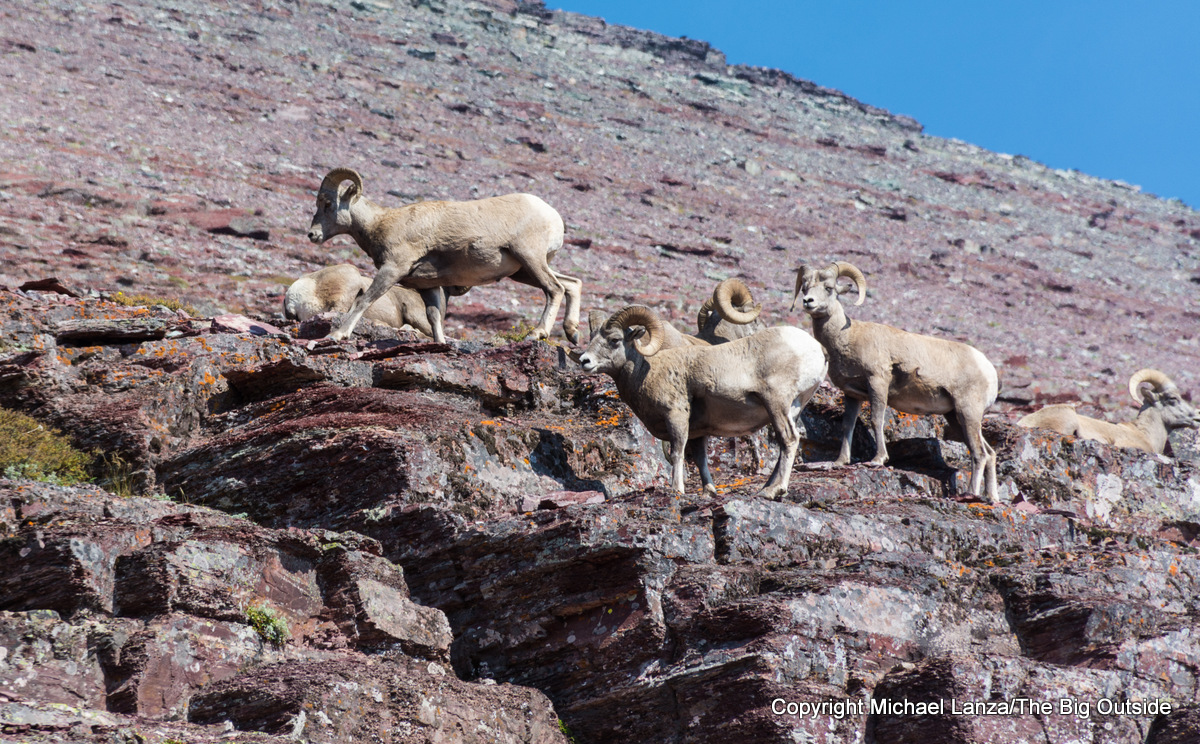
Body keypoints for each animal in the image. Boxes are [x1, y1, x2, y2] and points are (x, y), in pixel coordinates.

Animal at [307, 168, 582, 344]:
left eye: (328, 204)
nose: (312, 235)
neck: (380, 224)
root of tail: (553, 216)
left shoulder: (392, 270)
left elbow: (364, 301)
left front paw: (337, 335)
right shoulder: (427, 285)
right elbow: (434, 317)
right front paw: (441, 344)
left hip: (530, 259)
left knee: (554, 289)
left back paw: (537, 333)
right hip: (523, 272)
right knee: (572, 284)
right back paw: (573, 333)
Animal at [577, 305, 827, 498]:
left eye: (615, 340)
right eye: (592, 338)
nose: (584, 361)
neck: (649, 371)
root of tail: (816, 348)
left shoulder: (676, 417)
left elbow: (677, 453)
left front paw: (677, 490)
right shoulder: (698, 432)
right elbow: (700, 459)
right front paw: (709, 492)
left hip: (777, 404)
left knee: (789, 439)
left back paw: (772, 491)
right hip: (792, 409)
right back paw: (766, 487)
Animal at [792, 261, 999, 502]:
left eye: (828, 288)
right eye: (805, 287)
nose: (808, 302)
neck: (847, 337)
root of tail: (989, 370)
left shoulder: (877, 384)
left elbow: (876, 420)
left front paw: (877, 460)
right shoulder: (852, 394)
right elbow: (847, 426)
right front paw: (840, 462)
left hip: (968, 413)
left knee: (979, 454)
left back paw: (970, 494)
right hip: (956, 417)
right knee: (990, 453)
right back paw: (992, 498)